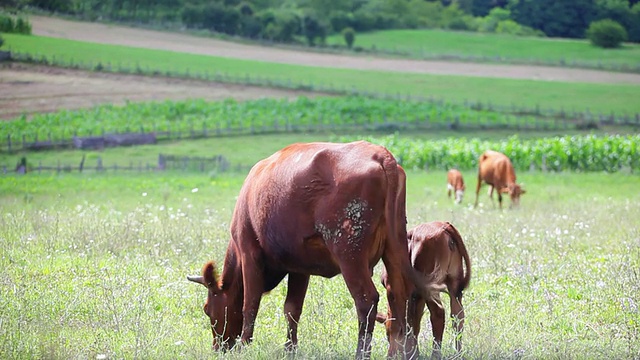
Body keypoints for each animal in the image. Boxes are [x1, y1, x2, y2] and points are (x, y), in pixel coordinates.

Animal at [185, 141, 440, 360]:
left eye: (207, 309)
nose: (218, 347)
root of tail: (380, 155)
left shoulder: (249, 253)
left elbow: (250, 303)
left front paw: (245, 346)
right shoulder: (299, 266)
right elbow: (292, 309)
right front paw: (290, 349)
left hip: (350, 255)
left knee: (367, 299)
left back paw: (362, 353)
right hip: (394, 247)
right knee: (399, 295)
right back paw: (402, 351)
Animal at [376, 221, 470, 358]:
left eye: (387, 335)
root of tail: (444, 226)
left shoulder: (394, 290)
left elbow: (400, 322)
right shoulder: (416, 296)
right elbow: (415, 322)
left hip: (430, 287)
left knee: (438, 312)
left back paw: (435, 355)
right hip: (454, 284)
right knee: (458, 315)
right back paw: (457, 354)